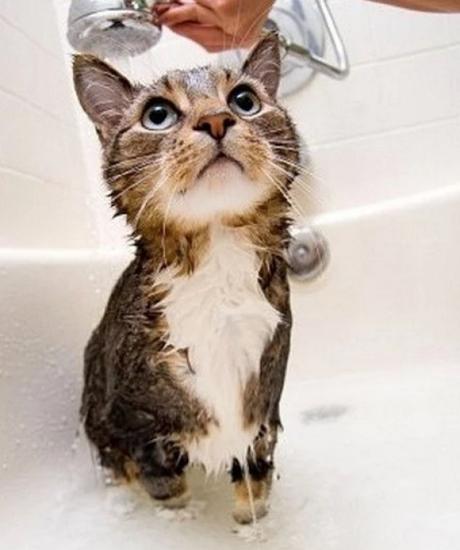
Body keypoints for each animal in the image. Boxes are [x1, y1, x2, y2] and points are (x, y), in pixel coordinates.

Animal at [73, 32, 300, 524]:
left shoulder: (263, 410)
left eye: (245, 100)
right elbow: (164, 483)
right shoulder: (134, 425)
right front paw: (180, 515)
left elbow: (256, 482)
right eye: (157, 115)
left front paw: (251, 524)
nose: (216, 119)